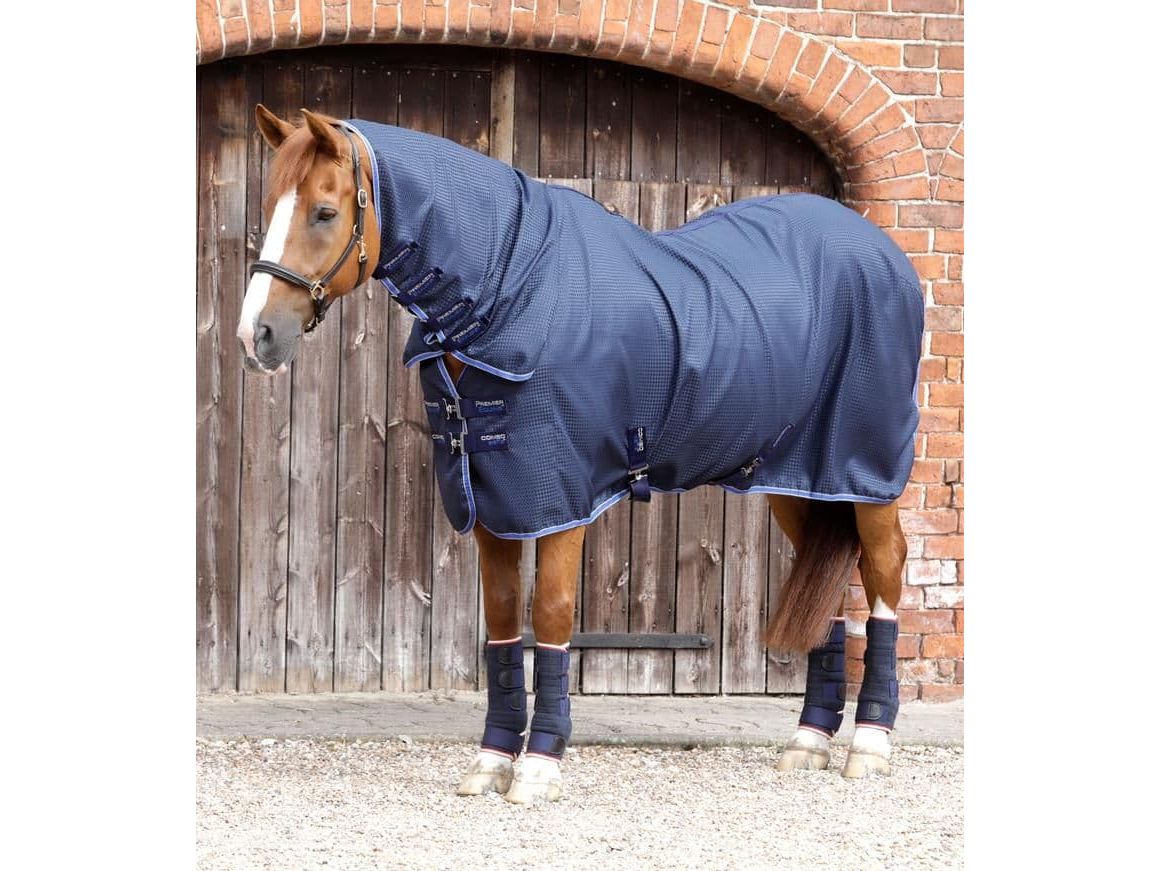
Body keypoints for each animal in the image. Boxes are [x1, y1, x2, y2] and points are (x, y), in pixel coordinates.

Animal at [237, 105, 923, 804]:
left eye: (325, 211)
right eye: (269, 205)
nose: (254, 335)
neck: (510, 290)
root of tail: (884, 254)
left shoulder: (559, 496)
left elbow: (552, 615)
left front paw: (540, 765)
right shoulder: (491, 500)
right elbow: (504, 618)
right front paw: (492, 760)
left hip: (866, 470)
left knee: (884, 573)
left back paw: (869, 742)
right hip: (796, 478)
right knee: (831, 585)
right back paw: (808, 742)